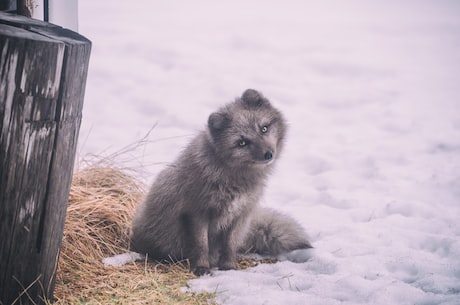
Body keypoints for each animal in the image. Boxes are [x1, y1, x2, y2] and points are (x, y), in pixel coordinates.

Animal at [129, 89, 310, 274]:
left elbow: (230, 245)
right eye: (242, 142)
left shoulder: (240, 215)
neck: (233, 179)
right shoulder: (197, 212)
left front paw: (228, 267)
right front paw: (201, 268)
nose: (269, 154)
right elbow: (201, 245)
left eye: (264, 128)